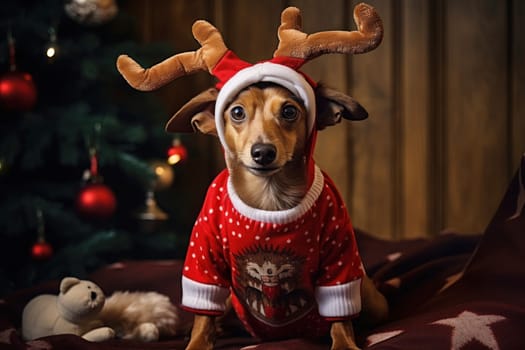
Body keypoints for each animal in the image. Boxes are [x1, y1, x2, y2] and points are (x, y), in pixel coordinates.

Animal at [116, 3, 386, 350]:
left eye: (289, 111)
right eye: (237, 112)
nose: (263, 152)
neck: (269, 199)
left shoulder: (340, 258)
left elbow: (341, 320)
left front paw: (345, 343)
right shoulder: (203, 257)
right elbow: (203, 317)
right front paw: (197, 340)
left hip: (371, 297)